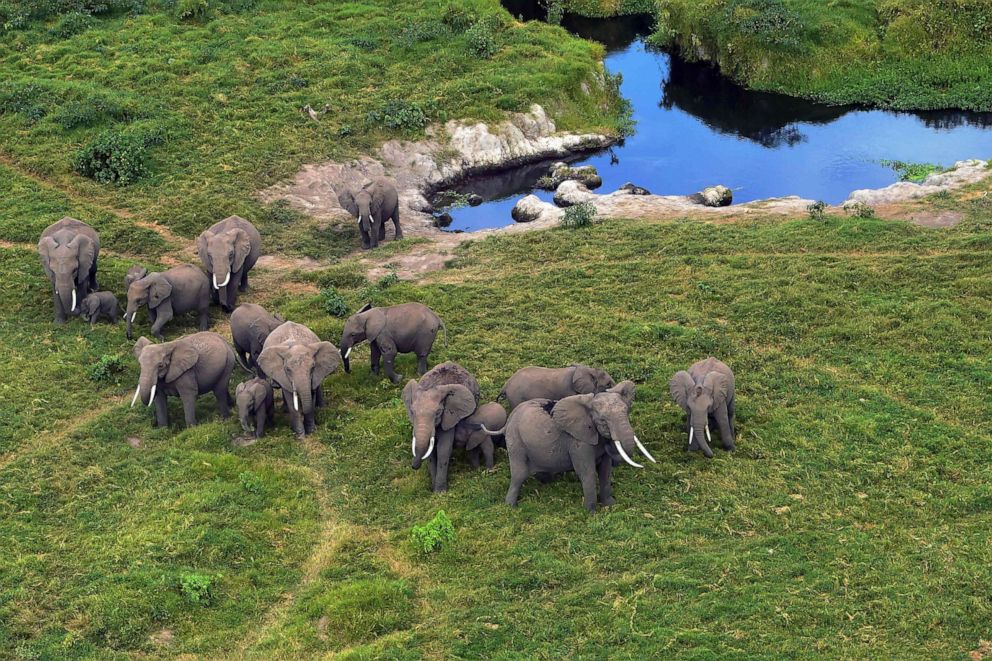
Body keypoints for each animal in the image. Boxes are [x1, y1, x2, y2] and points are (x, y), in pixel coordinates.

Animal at [404, 360, 480, 490]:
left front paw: (440, 491)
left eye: (438, 412)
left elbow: (443, 448)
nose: (414, 466)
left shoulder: (450, 416)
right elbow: (431, 452)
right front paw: (434, 488)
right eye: (412, 412)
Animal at [486, 378, 652, 512]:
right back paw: (511, 507)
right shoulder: (578, 441)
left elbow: (605, 470)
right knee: (519, 474)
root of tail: (509, 419)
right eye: (603, 420)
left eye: (626, 412)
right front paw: (591, 513)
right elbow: (587, 472)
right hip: (515, 439)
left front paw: (610, 505)